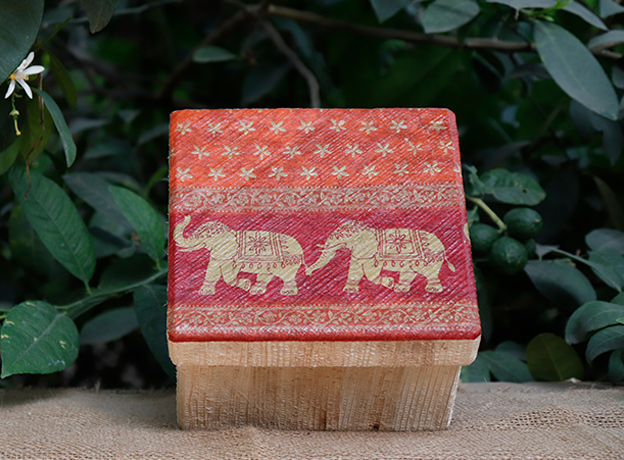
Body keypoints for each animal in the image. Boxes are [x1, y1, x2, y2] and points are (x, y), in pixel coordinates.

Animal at [173, 216, 305, 296]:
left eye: (205, 236)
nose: (186, 217)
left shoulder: (230, 256)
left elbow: (228, 275)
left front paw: (245, 284)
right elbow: (212, 270)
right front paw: (205, 293)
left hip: (288, 262)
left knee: (286, 276)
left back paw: (287, 293)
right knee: (265, 275)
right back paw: (256, 291)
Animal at [306, 220, 455, 293]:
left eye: (342, 236)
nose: (308, 272)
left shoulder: (372, 255)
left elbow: (371, 273)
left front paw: (389, 282)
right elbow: (354, 270)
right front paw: (349, 291)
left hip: (431, 259)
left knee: (429, 273)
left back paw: (432, 290)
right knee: (408, 273)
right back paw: (400, 289)